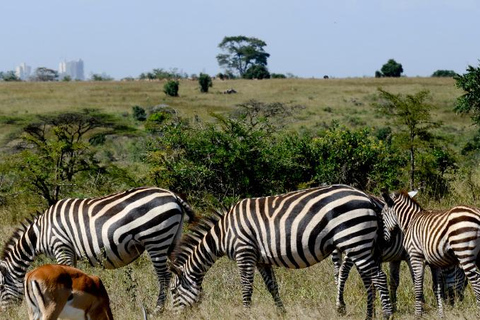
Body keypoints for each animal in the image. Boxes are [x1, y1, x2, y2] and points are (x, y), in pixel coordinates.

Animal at [0, 186, 197, 314]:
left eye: (1, 287)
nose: (5, 314)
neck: (40, 233)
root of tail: (173, 195)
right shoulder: (70, 252)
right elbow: (74, 275)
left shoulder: (61, 246)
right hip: (172, 238)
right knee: (178, 271)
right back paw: (180, 304)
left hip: (156, 238)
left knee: (164, 276)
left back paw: (158, 309)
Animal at [171, 185, 392, 320]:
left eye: (173, 292)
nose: (172, 316)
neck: (224, 233)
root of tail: (367, 197)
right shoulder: (261, 259)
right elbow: (272, 287)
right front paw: (282, 313)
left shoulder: (245, 252)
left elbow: (246, 288)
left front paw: (245, 313)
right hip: (360, 243)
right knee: (368, 279)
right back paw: (369, 315)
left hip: (355, 239)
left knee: (379, 277)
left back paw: (386, 314)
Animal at [380, 190, 480, 318]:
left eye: (382, 215)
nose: (384, 241)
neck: (410, 221)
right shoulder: (434, 263)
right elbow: (437, 288)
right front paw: (441, 314)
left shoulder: (415, 256)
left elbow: (418, 285)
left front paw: (418, 314)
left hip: (463, 252)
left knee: (476, 281)